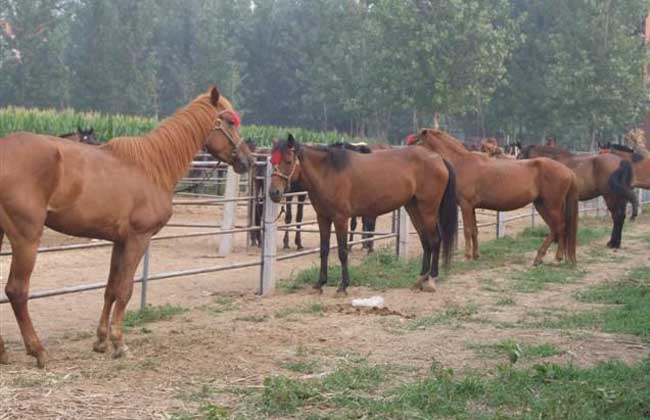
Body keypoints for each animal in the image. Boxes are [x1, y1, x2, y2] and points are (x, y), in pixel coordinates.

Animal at [0, 86, 253, 368]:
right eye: (230, 121)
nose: (248, 160)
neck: (153, 167)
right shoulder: (138, 239)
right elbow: (125, 291)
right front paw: (119, 343)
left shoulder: (119, 242)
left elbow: (110, 289)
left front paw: (101, 341)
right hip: (26, 238)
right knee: (16, 291)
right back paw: (38, 351)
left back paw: (4, 352)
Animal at [268, 135, 456, 296]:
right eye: (271, 160)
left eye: (288, 161)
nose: (273, 193)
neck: (328, 172)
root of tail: (439, 158)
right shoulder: (323, 218)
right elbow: (324, 249)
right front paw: (319, 284)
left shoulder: (341, 218)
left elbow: (343, 251)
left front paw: (343, 286)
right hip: (414, 208)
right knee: (426, 241)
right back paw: (420, 279)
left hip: (428, 209)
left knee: (435, 240)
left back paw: (431, 278)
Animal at [408, 130, 576, 264]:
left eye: (416, 141)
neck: (462, 163)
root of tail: (567, 170)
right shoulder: (472, 207)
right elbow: (474, 230)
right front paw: (476, 255)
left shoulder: (465, 205)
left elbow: (467, 230)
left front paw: (467, 256)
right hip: (542, 205)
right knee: (557, 227)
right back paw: (549, 257)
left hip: (551, 205)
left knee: (559, 226)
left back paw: (550, 257)